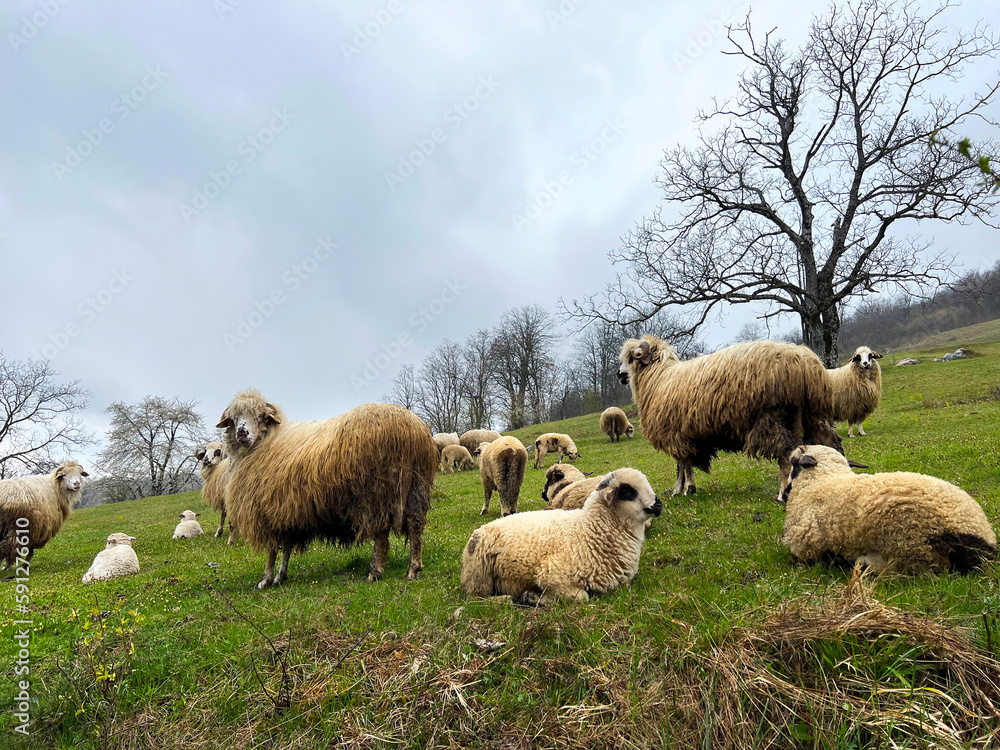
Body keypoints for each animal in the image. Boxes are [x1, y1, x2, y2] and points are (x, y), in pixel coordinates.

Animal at [218, 388, 437, 589]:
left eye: (261, 417)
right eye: (234, 419)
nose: (242, 432)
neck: (265, 442)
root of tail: (412, 428)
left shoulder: (268, 513)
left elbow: (272, 550)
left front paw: (265, 579)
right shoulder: (286, 511)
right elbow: (286, 547)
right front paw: (281, 576)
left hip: (378, 491)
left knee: (382, 535)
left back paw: (374, 572)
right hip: (417, 485)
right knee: (415, 524)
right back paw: (413, 569)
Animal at [460, 468, 662, 604]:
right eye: (628, 492)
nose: (659, 505)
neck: (589, 530)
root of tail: (480, 530)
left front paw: (533, 597)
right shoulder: (550, 575)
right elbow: (582, 596)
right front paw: (533, 597)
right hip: (478, 578)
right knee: (476, 600)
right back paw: (507, 599)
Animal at [618, 335, 842, 498]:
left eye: (632, 357)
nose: (619, 375)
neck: (658, 378)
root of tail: (804, 364)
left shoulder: (674, 434)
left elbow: (684, 464)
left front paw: (686, 489)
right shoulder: (681, 435)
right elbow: (681, 464)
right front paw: (679, 489)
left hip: (771, 416)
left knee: (787, 454)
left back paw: (782, 494)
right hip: (805, 415)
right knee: (829, 443)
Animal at [781, 445, 996, 574]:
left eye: (793, 463)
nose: (782, 496)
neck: (822, 480)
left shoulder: (805, 542)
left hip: (908, 540)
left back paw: (858, 562)